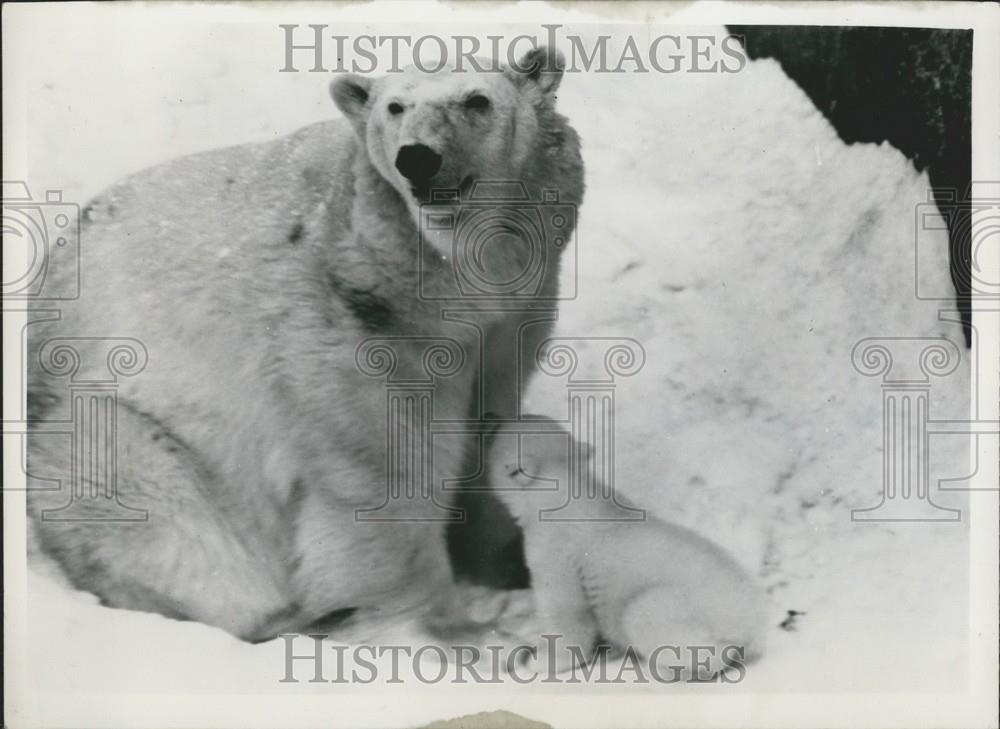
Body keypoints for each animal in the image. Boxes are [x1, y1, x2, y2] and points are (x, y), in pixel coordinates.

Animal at [27, 45, 584, 640]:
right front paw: (442, 628)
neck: (444, 269)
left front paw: (508, 565)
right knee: (147, 506)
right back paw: (286, 614)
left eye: (477, 100)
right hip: (119, 427)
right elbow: (383, 458)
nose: (417, 158)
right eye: (394, 106)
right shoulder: (354, 310)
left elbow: (489, 419)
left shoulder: (513, 311)